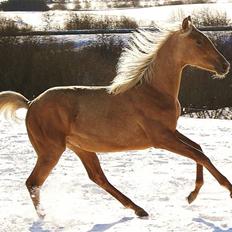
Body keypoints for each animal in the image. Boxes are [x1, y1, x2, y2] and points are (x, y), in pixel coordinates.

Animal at [0, 16, 230, 218]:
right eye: (199, 42)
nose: (225, 65)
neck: (153, 91)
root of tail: (31, 104)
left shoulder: (171, 132)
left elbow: (199, 149)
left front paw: (192, 195)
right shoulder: (161, 138)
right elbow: (200, 155)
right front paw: (227, 189)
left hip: (81, 148)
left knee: (97, 177)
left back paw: (139, 209)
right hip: (51, 151)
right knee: (33, 182)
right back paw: (43, 216)